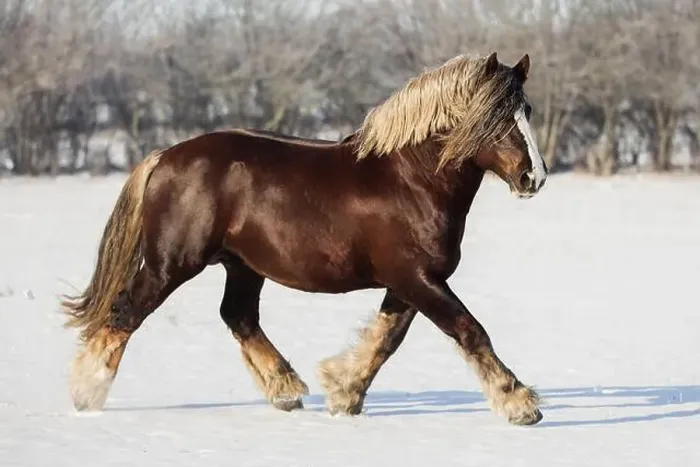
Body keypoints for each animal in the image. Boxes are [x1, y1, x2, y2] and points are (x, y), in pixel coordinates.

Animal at [61, 51, 548, 426]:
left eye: (527, 112)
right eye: (496, 117)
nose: (534, 177)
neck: (412, 180)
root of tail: (164, 157)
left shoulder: (408, 283)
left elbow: (385, 341)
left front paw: (345, 395)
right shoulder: (416, 279)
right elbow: (468, 329)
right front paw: (520, 404)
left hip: (242, 265)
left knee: (238, 316)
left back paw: (286, 390)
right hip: (172, 263)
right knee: (126, 312)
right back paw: (88, 393)